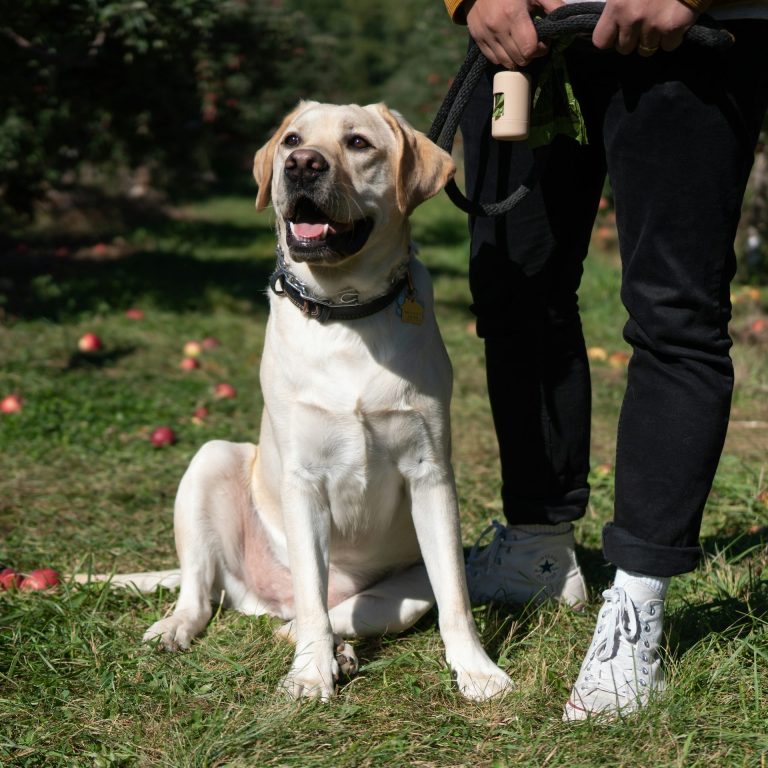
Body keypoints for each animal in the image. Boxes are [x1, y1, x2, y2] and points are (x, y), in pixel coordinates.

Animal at [99, 103, 512, 704]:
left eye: (359, 143)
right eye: (292, 140)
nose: (301, 165)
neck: (347, 311)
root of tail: (259, 596)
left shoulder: (431, 472)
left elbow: (454, 599)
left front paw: (477, 670)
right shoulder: (303, 480)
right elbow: (312, 599)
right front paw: (310, 676)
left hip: (408, 586)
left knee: (339, 613)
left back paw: (337, 647)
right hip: (211, 459)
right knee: (209, 592)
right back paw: (179, 628)